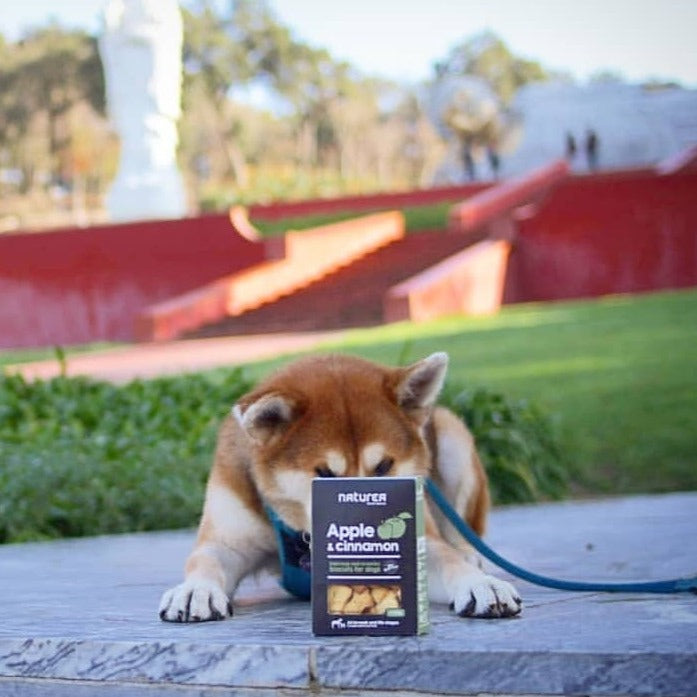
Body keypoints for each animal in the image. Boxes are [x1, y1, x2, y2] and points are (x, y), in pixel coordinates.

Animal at [160, 354, 520, 620]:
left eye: (385, 466)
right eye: (324, 473)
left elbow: (447, 561)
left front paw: (479, 583)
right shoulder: (227, 539)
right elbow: (206, 561)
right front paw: (195, 590)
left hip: (452, 434)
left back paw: (470, 554)